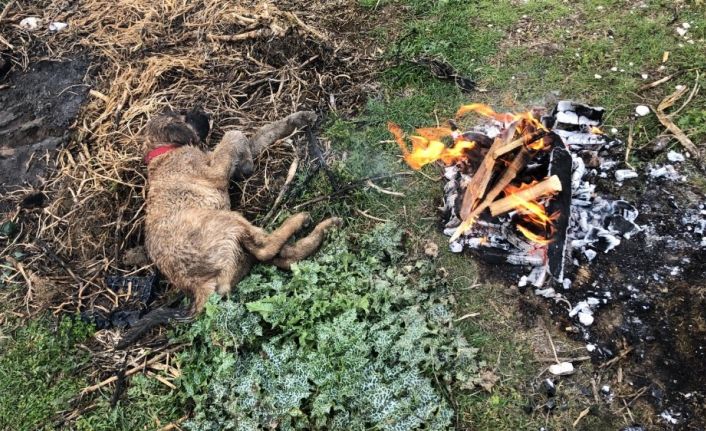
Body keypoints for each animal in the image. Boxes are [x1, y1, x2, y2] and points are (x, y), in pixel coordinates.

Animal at [117, 111, 338, 348]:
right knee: (267, 249)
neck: (164, 152)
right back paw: (302, 221)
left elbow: (260, 134)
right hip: (226, 221)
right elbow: (234, 135)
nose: (204, 113)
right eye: (184, 115)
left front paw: (298, 119)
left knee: (282, 256)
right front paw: (247, 161)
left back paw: (322, 229)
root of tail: (198, 288)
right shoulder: (215, 170)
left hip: (237, 246)